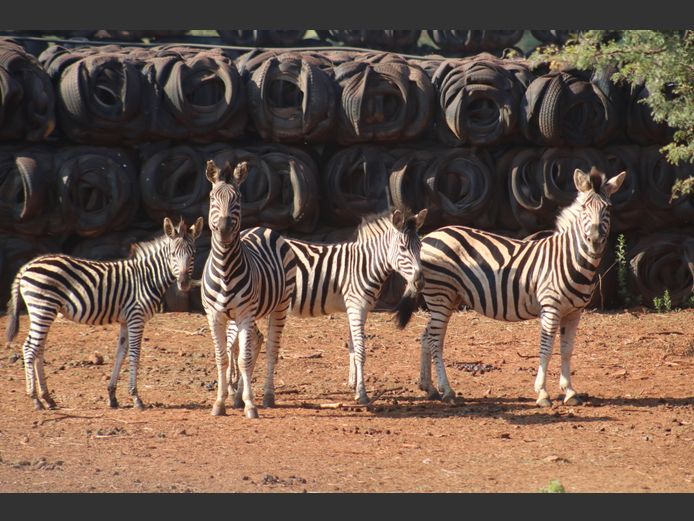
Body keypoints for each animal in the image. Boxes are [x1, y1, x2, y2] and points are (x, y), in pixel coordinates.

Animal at [5, 216, 204, 411]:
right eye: (173, 254)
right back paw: (35, 399)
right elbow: (135, 354)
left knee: (39, 349)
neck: (147, 277)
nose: (184, 283)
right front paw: (136, 397)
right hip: (42, 308)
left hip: (44, 311)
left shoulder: (126, 320)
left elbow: (121, 353)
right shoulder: (137, 317)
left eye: (193, 254)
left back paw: (47, 398)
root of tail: (28, 265)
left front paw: (112, 396)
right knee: (29, 348)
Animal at [201, 159, 296, 419]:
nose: (224, 230)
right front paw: (220, 403)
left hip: (279, 305)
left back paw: (267, 396)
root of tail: (263, 227)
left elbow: (244, 358)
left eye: (238, 199)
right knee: (256, 340)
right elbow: (222, 358)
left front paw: (250, 405)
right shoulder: (215, 315)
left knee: (271, 348)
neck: (225, 267)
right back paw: (238, 395)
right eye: (212, 198)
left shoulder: (244, 313)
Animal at [230, 208, 428, 405]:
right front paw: (362, 394)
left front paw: (353, 384)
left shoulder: (357, 308)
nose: (420, 282)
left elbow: (352, 347)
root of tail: (244, 232)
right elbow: (361, 351)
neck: (364, 264)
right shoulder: (357, 306)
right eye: (403, 248)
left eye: (420, 247)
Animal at [396, 167, 627, 407]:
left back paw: (429, 387)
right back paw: (447, 391)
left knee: (428, 336)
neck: (568, 258)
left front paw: (570, 392)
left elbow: (566, 350)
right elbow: (546, 348)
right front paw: (542, 393)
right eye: (583, 208)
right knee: (434, 339)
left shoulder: (574, 312)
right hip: (440, 294)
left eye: (608, 208)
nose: (595, 241)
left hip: (450, 297)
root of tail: (430, 236)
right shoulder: (551, 308)